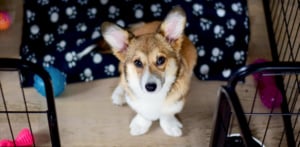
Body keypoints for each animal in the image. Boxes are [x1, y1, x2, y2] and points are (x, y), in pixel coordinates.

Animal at [102, 5, 198, 137]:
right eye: (137, 62)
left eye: (161, 60)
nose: (150, 87)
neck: (153, 97)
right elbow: (143, 113)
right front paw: (140, 125)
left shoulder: (177, 99)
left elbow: (167, 113)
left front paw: (170, 126)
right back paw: (119, 94)